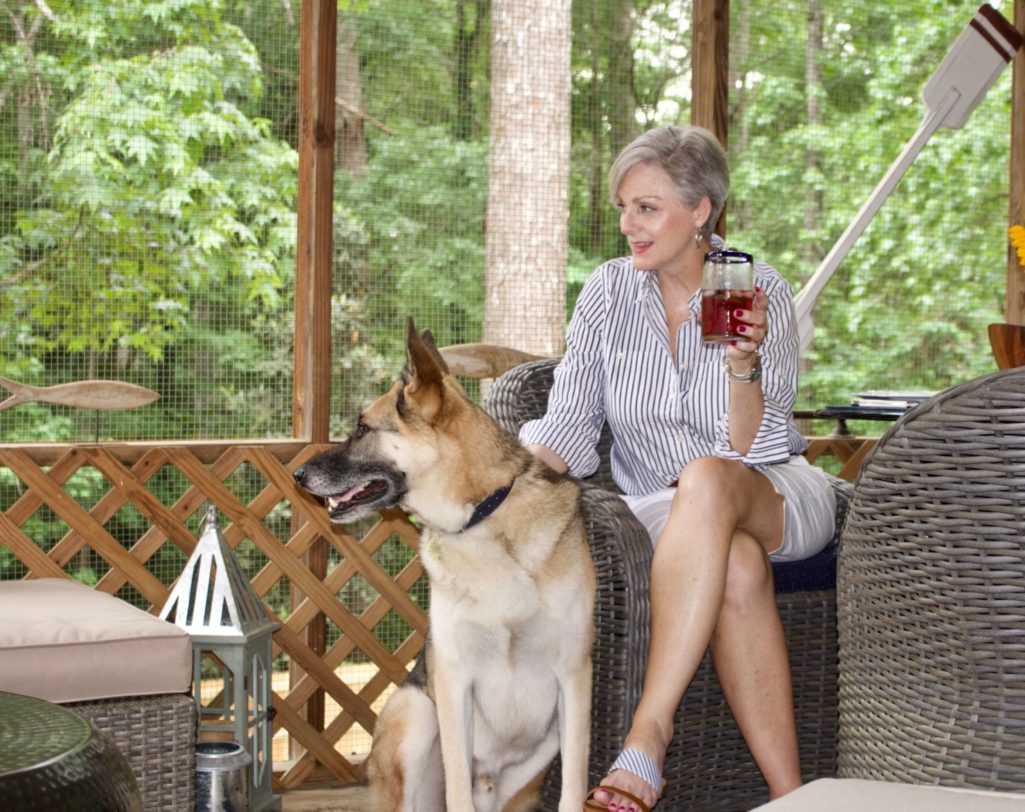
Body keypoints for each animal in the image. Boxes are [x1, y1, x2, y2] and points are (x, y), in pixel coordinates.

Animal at [293, 321, 598, 812]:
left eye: (362, 428)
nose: (297, 476)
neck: (482, 518)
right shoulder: (453, 680)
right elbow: (457, 785)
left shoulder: (574, 678)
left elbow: (573, 785)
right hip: (417, 714)